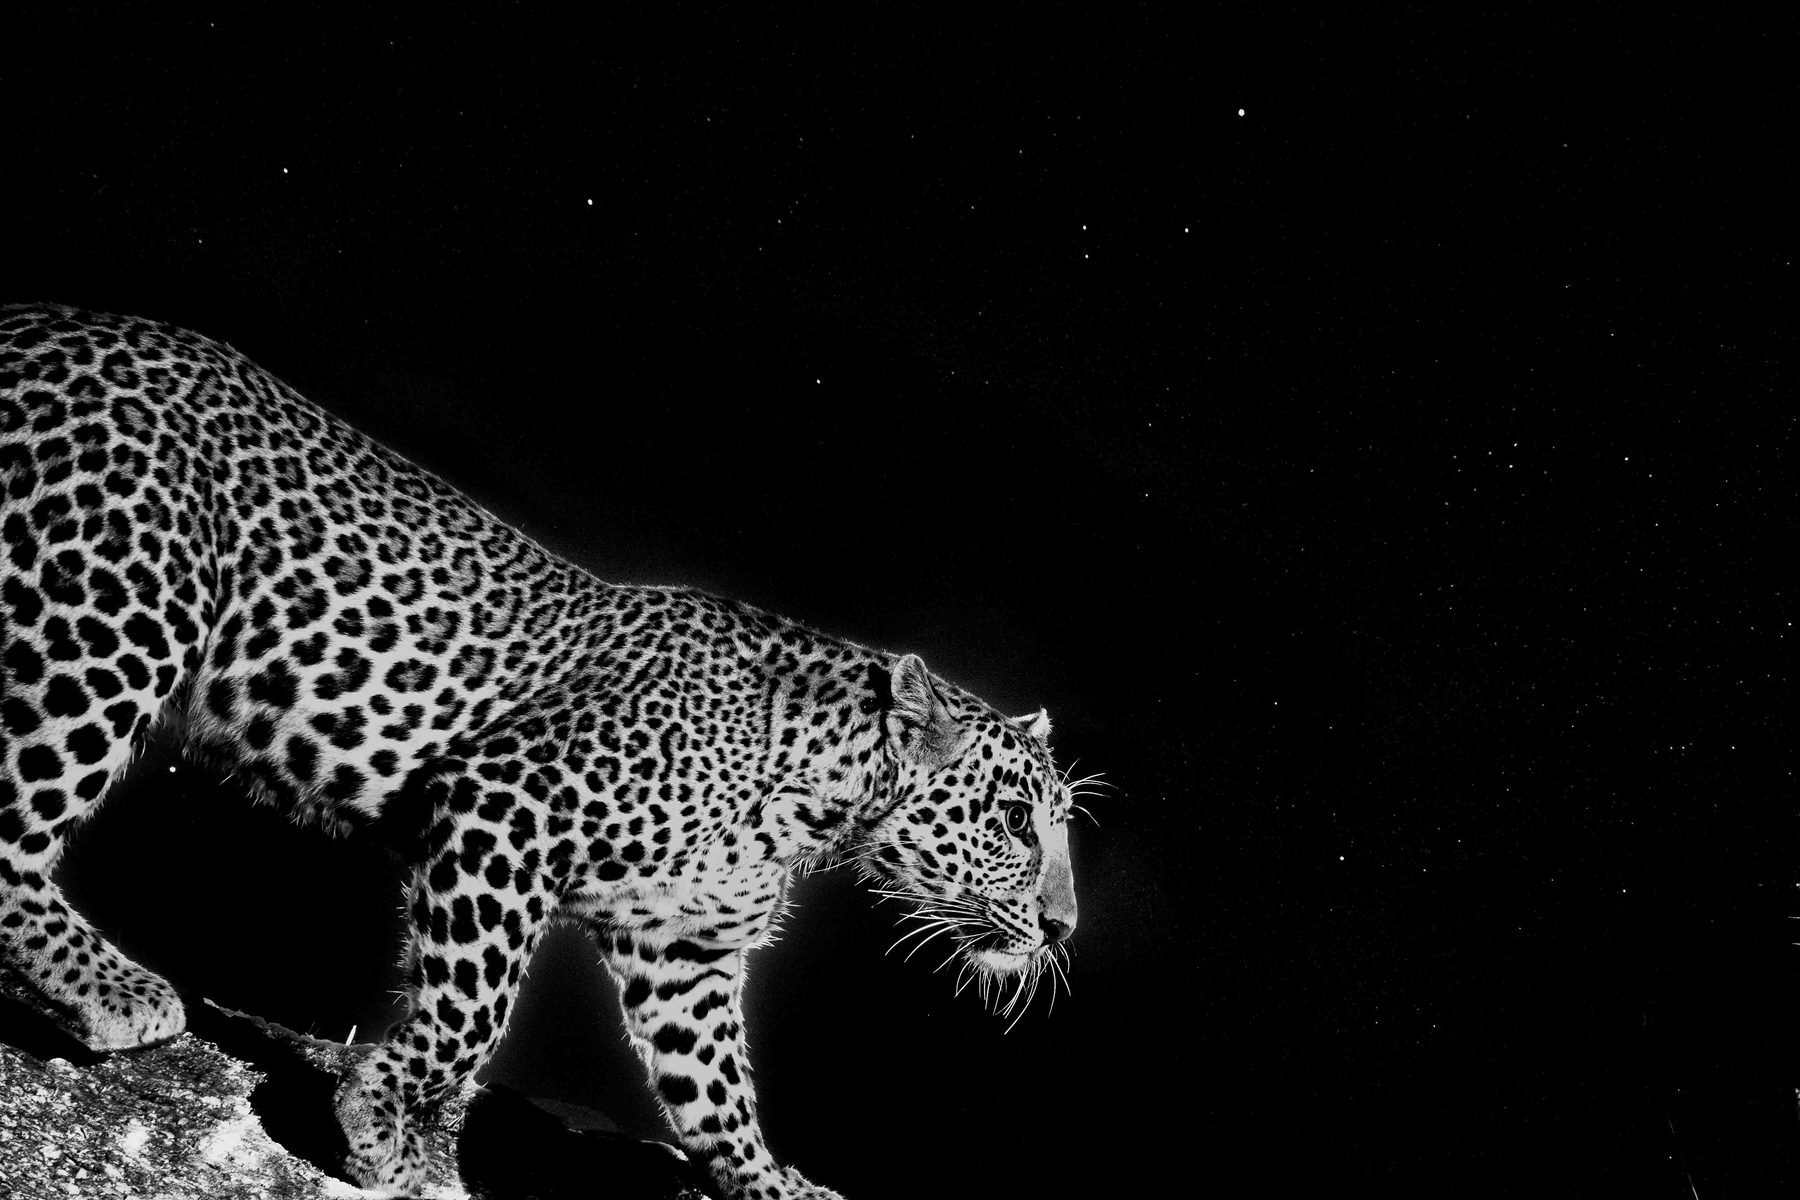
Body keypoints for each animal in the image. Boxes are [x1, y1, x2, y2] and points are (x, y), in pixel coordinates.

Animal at [0, 303, 1081, 1199]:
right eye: (1015, 822)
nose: (1064, 929)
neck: (819, 800)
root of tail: (36, 326)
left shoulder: (685, 949)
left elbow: (714, 1085)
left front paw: (772, 1182)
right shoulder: (505, 808)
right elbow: (474, 1004)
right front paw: (385, 1127)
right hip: (121, 611)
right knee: (18, 820)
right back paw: (111, 988)